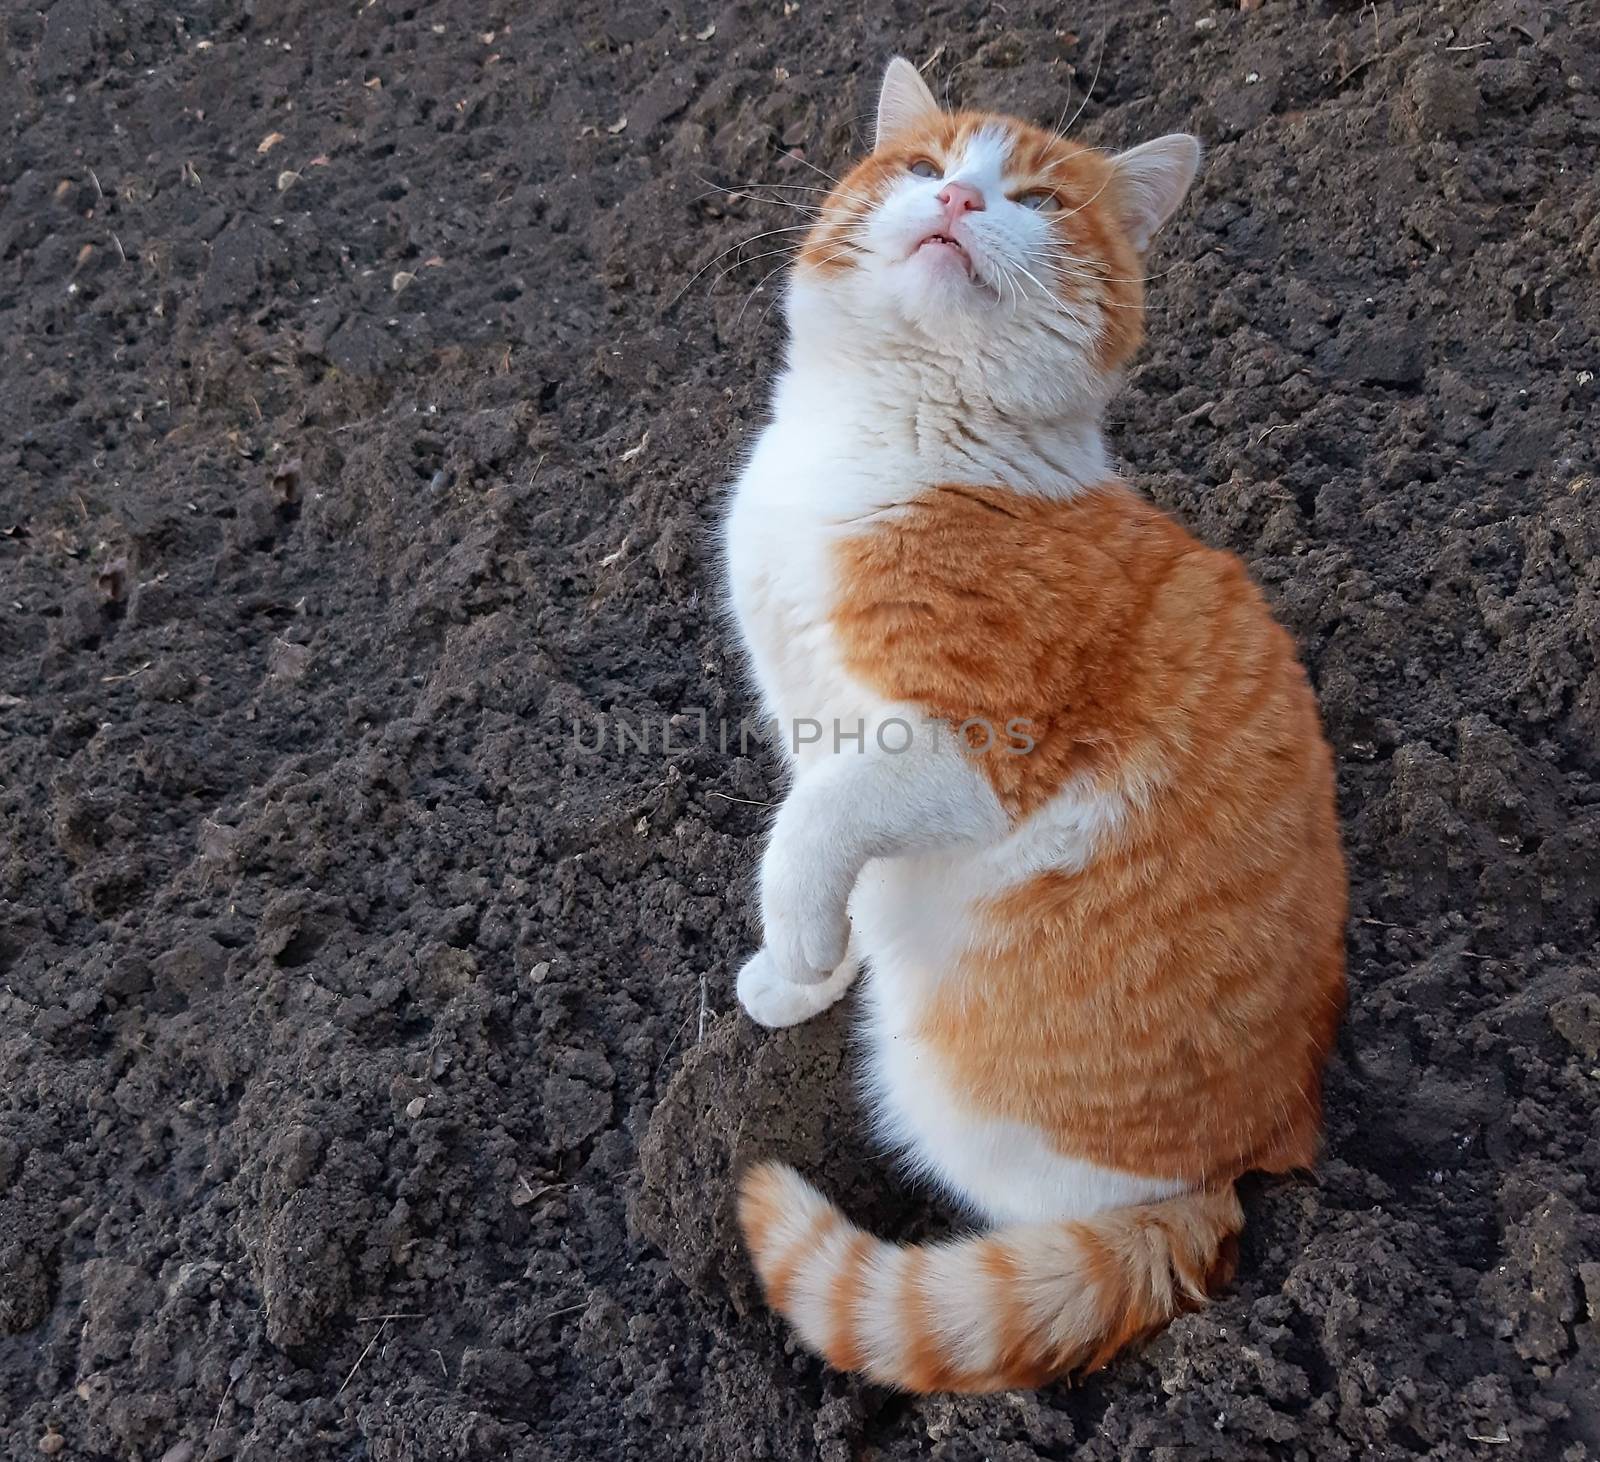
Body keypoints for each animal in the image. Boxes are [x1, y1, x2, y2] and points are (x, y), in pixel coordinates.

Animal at [720, 56, 1344, 1382]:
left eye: (1041, 200)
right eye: (920, 167)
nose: (958, 198)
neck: (884, 439)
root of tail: (1237, 1173)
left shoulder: (965, 751)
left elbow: (809, 836)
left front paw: (796, 946)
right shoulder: (808, 716)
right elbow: (817, 843)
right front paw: (805, 972)